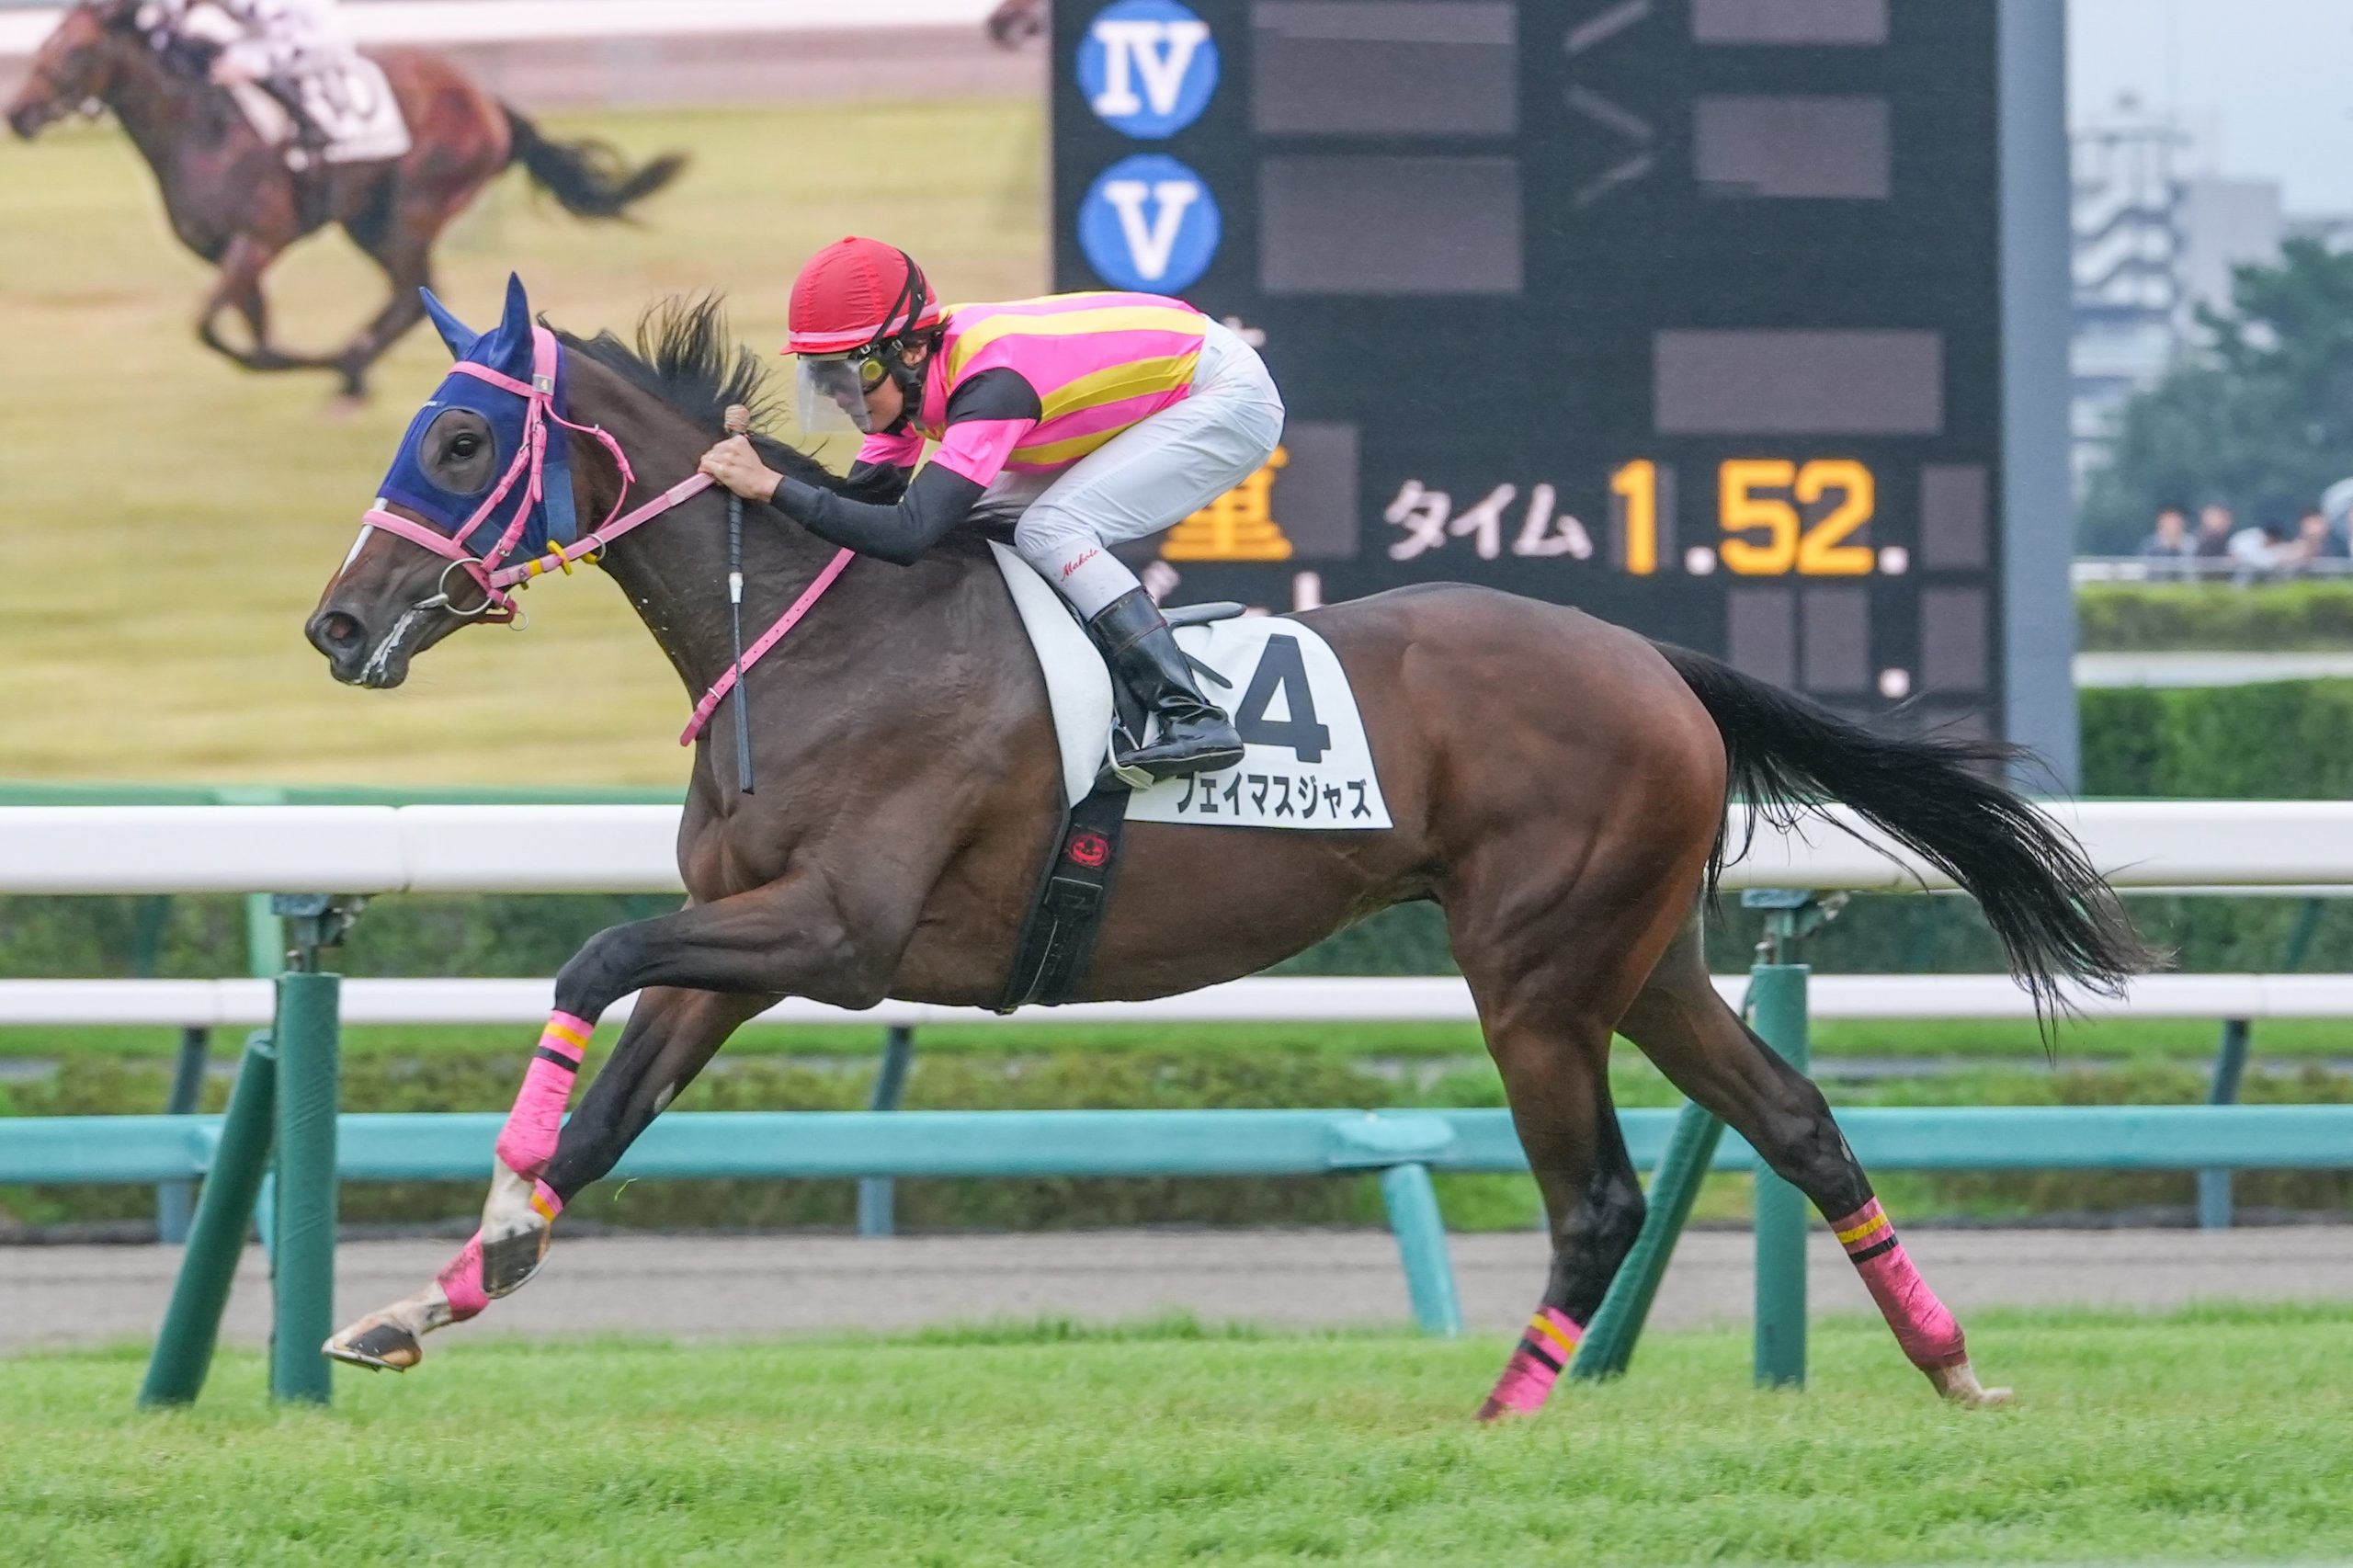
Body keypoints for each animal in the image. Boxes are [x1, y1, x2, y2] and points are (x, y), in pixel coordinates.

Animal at [4, 0, 683, 402]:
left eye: (72, 51)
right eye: (44, 43)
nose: (19, 114)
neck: (203, 126)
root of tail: (488, 103)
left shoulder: (261, 238)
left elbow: (212, 329)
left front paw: (316, 360)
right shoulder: (231, 254)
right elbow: (247, 336)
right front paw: (296, 359)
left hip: (410, 209)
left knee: (409, 298)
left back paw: (351, 373)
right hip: (370, 220)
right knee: (408, 297)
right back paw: (353, 369)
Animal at [305, 277, 2148, 1416]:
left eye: (460, 440)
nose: (335, 624)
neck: (823, 636)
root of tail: (1652, 658)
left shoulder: (838, 933)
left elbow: (592, 955)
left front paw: (493, 1202)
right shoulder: (753, 936)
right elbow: (613, 1109)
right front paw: (431, 1296)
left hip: (1534, 971)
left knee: (1602, 1197)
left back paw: (1499, 1412)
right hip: (1640, 957)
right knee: (1800, 1124)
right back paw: (1952, 1363)